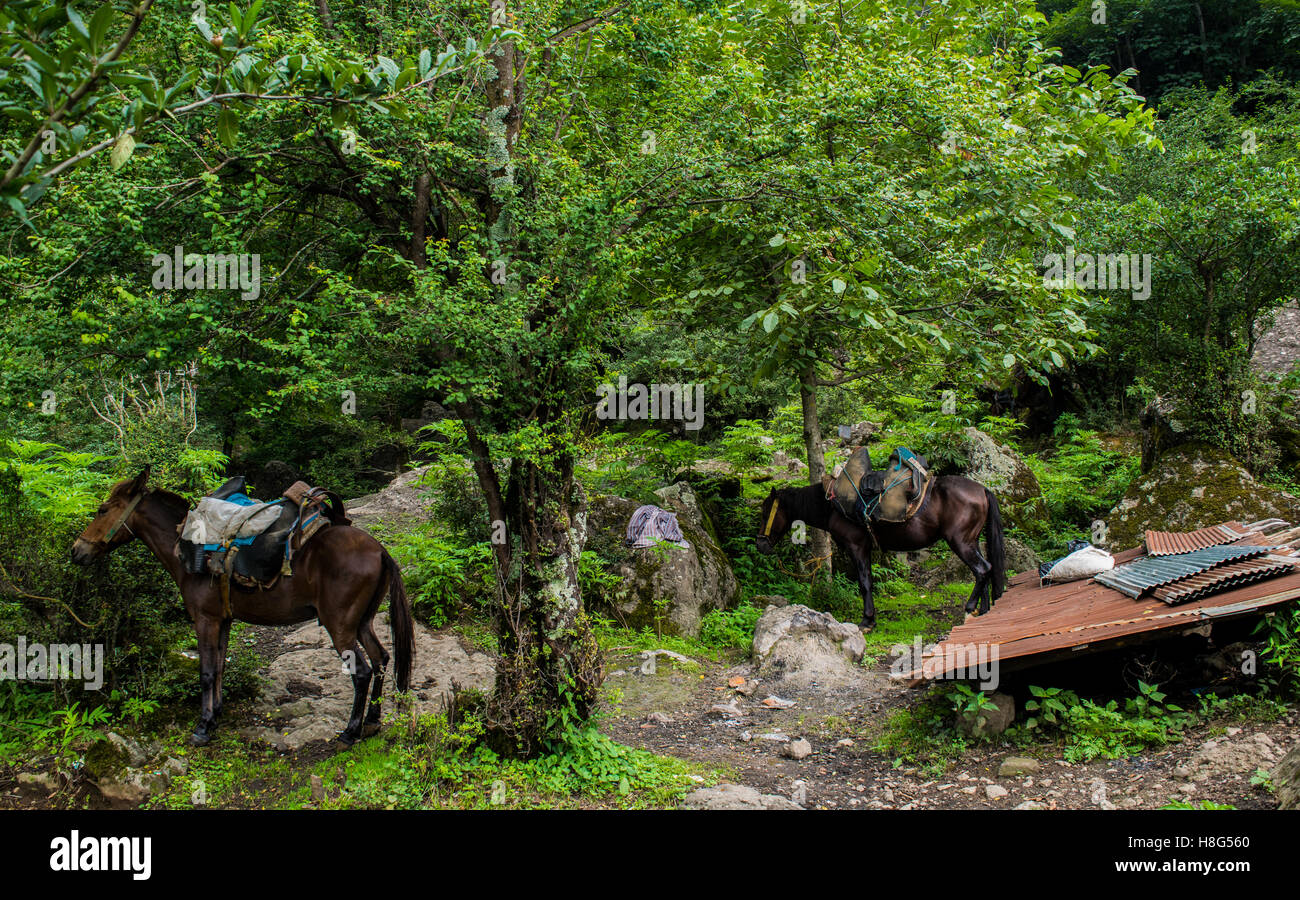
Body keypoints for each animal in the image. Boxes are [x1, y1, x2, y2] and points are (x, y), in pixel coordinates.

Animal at [70, 466, 414, 747]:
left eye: (102, 509)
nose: (76, 550)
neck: (185, 542)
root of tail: (380, 550)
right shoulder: (223, 619)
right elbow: (220, 665)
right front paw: (215, 714)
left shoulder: (204, 619)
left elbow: (206, 671)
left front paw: (203, 727)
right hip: (362, 621)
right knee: (381, 659)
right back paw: (372, 721)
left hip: (339, 624)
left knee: (362, 671)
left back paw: (350, 731)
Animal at [755, 474, 1005, 630]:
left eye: (766, 512)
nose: (760, 545)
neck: (832, 506)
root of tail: (982, 489)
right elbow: (869, 581)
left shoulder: (857, 547)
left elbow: (864, 583)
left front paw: (867, 621)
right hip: (971, 541)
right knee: (985, 570)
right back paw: (983, 612)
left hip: (960, 541)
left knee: (982, 569)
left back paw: (970, 609)